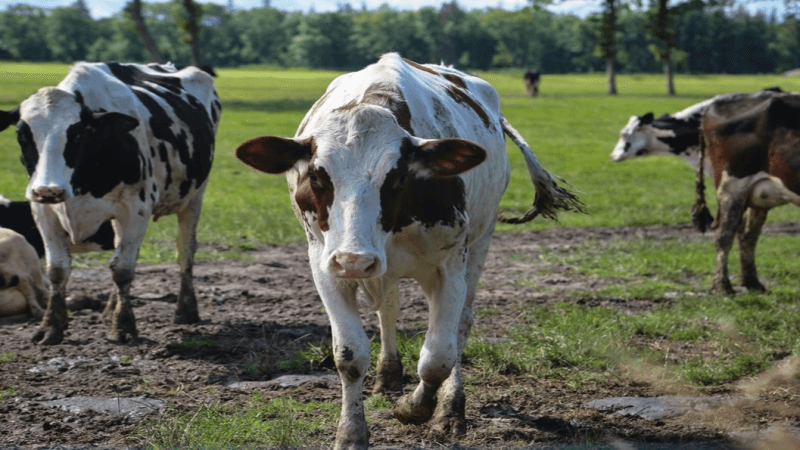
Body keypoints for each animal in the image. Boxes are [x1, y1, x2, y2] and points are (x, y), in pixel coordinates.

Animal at [0, 61, 220, 344]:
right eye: (21, 134)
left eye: (78, 133)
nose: (48, 190)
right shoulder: (43, 211)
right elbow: (58, 269)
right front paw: (52, 327)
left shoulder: (137, 209)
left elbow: (123, 269)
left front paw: (124, 326)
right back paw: (109, 310)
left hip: (194, 197)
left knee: (185, 252)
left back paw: (186, 309)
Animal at [233, 53, 580, 450]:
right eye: (318, 175)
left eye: (398, 176)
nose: (355, 260)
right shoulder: (325, 266)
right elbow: (349, 353)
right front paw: (351, 433)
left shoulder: (450, 268)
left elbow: (438, 357)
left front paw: (415, 408)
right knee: (388, 309)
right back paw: (388, 374)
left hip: (481, 240)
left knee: (459, 326)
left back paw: (450, 409)